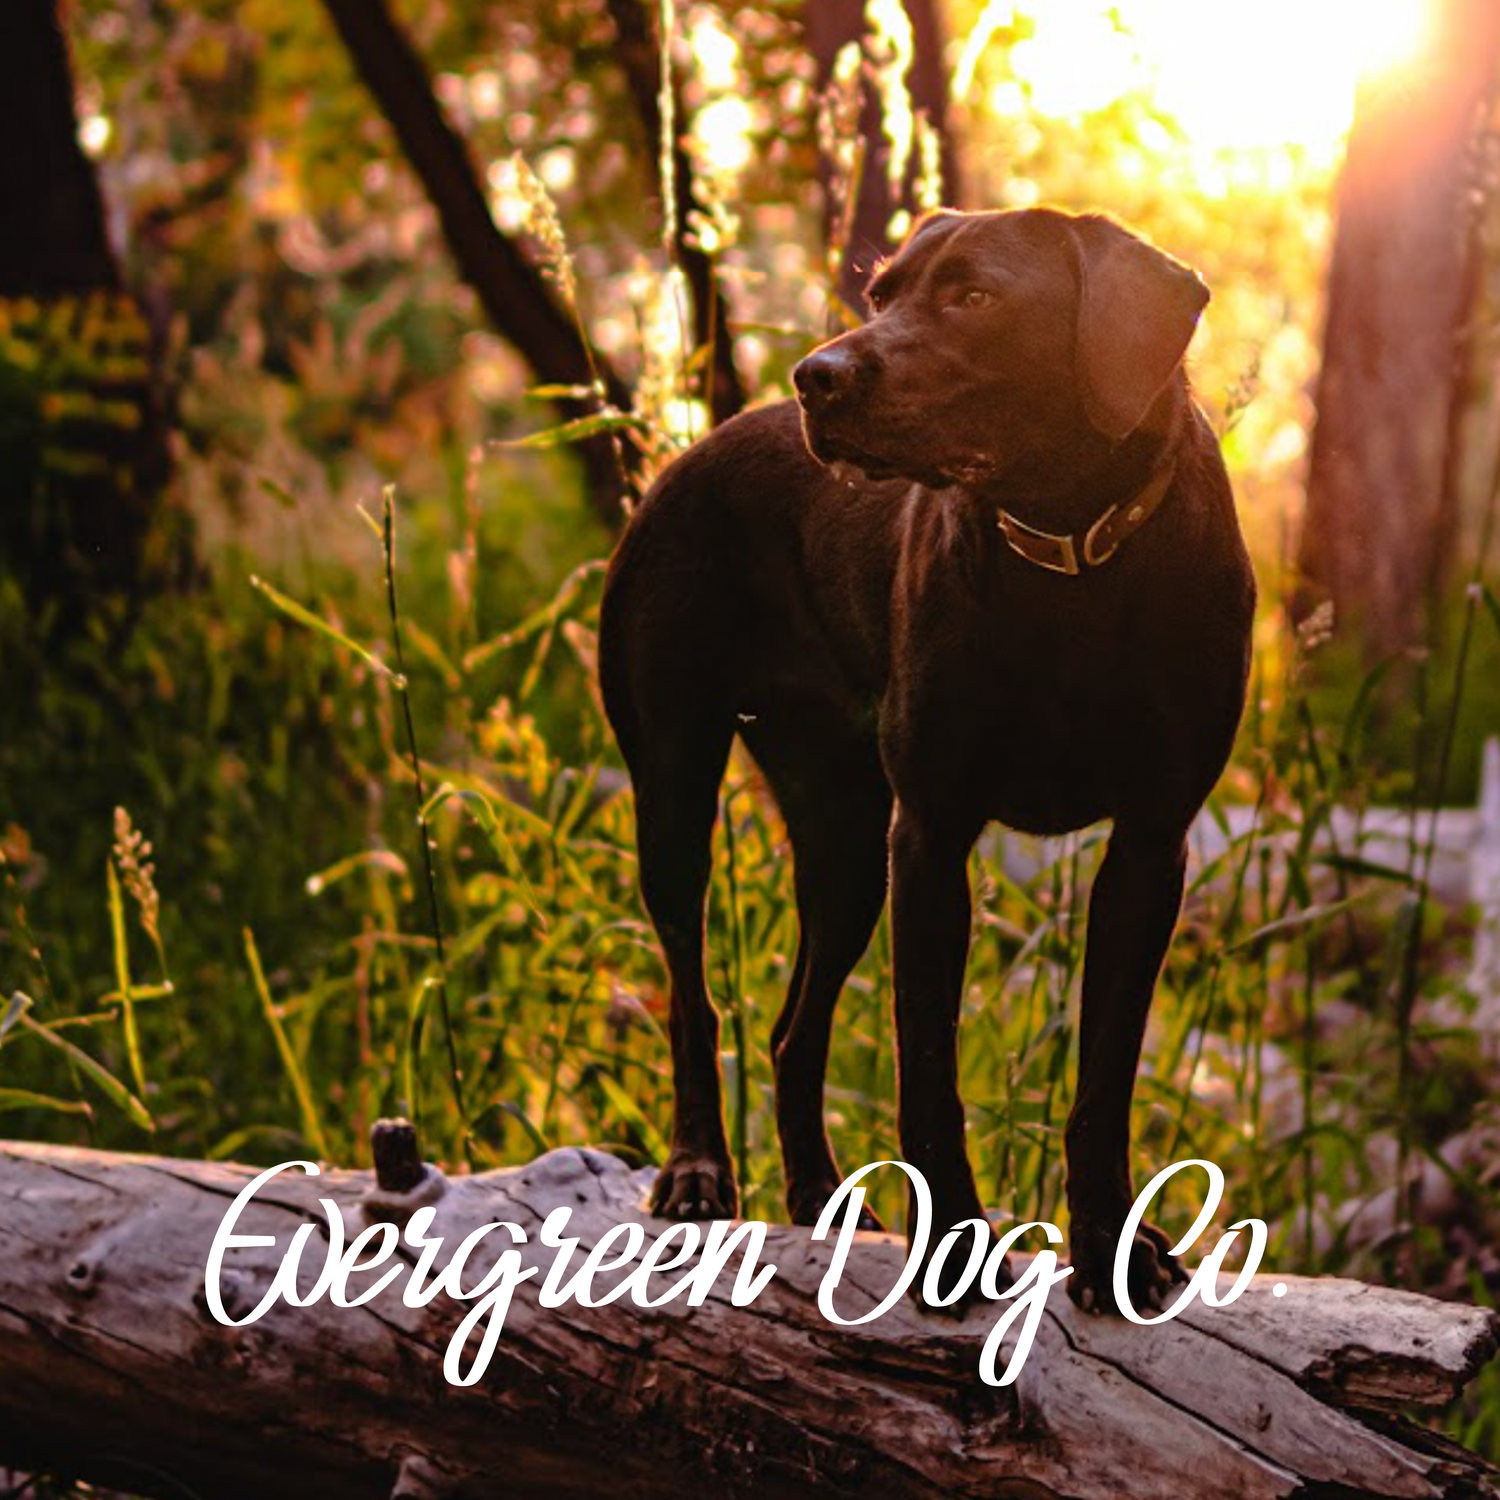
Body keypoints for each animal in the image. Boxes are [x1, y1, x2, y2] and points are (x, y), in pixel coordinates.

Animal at [597, 208, 1254, 1314]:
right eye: (881, 293)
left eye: (976, 297)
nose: (814, 376)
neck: (1067, 552)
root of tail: (693, 452)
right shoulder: (934, 839)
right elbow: (928, 1071)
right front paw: (952, 1245)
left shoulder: (1148, 847)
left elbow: (1103, 1078)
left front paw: (1113, 1245)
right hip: (678, 787)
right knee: (692, 997)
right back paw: (696, 1171)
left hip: (844, 843)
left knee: (792, 1031)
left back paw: (821, 1198)